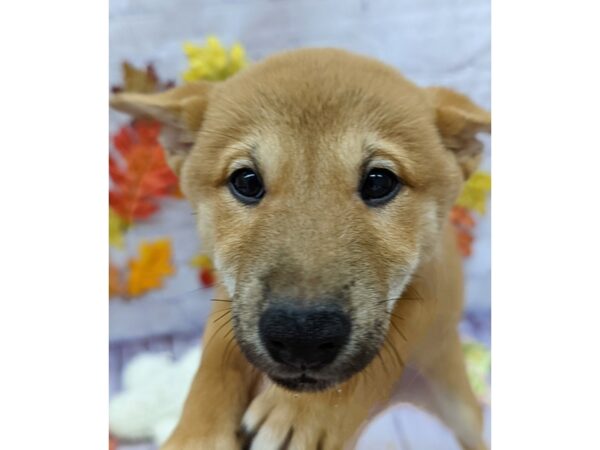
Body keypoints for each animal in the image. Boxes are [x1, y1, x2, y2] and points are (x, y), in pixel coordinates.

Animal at [110, 47, 490, 448]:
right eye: (246, 181)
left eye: (379, 181)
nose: (301, 338)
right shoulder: (231, 292)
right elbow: (217, 354)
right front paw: (196, 434)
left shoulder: (437, 278)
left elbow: (401, 326)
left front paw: (301, 414)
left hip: (460, 408)